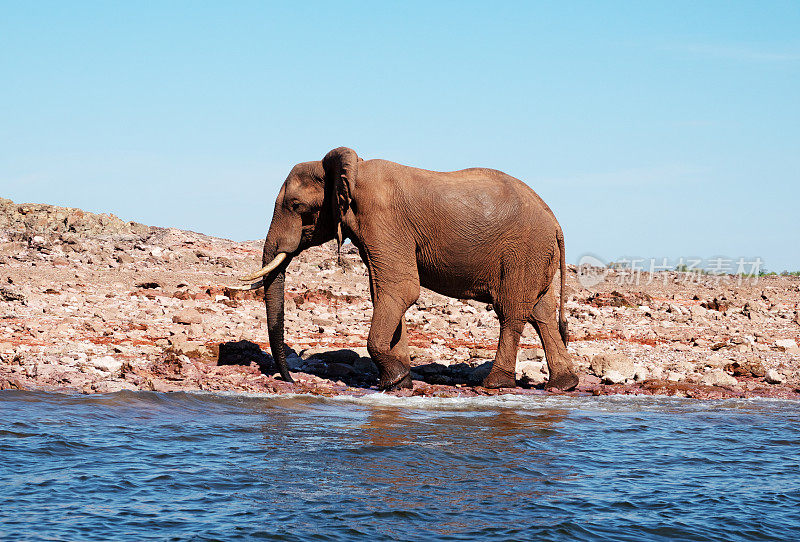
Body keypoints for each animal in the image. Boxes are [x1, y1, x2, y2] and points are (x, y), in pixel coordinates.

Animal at [234, 147, 580, 394]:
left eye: (295, 206)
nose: (290, 380)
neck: (353, 168)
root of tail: (556, 222)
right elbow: (384, 293)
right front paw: (400, 383)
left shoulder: (382, 219)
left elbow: (401, 290)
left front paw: (395, 378)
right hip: (537, 255)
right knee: (541, 312)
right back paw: (564, 385)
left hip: (524, 250)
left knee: (511, 311)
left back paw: (496, 384)